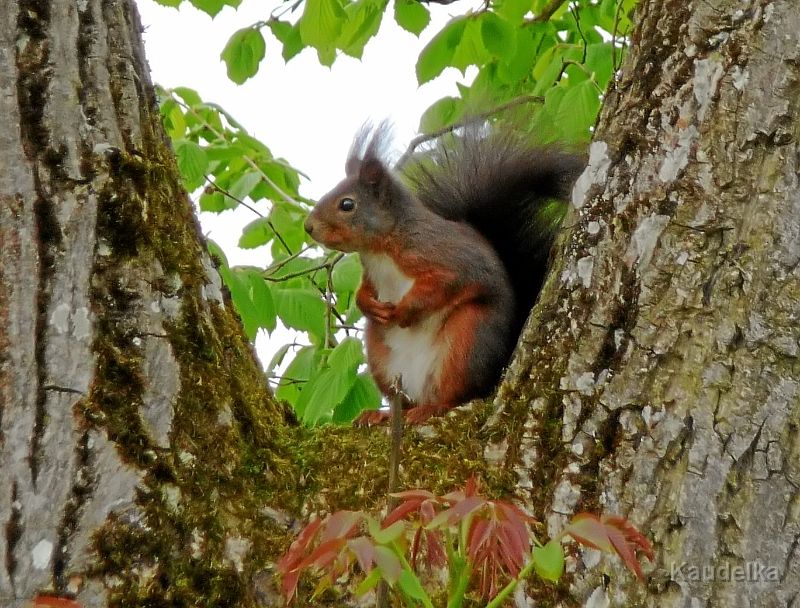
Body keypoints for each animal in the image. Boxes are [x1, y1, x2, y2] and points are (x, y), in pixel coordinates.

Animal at [304, 124, 584, 422]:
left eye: (347, 205)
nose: (309, 227)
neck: (380, 249)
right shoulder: (372, 274)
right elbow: (364, 290)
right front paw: (368, 305)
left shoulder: (445, 256)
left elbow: (445, 283)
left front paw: (404, 311)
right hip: (382, 358)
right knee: (403, 400)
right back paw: (384, 415)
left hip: (466, 339)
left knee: (455, 396)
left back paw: (432, 408)